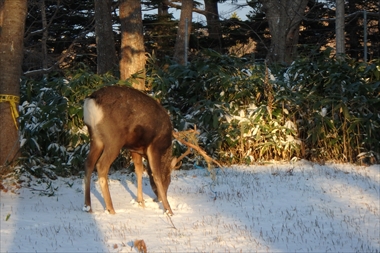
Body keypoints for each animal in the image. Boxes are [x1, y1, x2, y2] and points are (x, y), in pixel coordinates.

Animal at [83, 85, 186, 215]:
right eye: (169, 179)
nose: (158, 199)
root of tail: (91, 100)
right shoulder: (154, 146)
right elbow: (156, 175)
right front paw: (169, 211)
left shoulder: (135, 149)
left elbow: (139, 171)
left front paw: (141, 202)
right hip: (114, 139)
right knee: (101, 165)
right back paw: (111, 209)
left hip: (95, 138)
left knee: (88, 163)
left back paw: (88, 206)